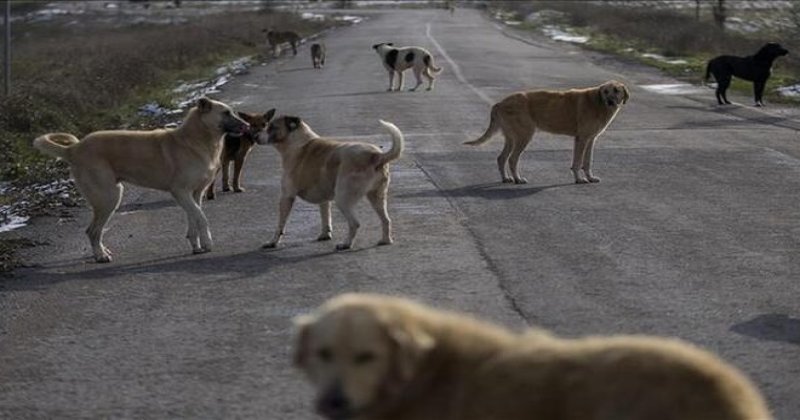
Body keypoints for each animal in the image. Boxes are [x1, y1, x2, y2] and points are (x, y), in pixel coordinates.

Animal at [32, 98, 248, 262]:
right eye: (226, 113)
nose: (247, 126)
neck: (196, 140)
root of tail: (73, 149)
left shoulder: (195, 194)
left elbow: (194, 218)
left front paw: (197, 245)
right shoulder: (180, 192)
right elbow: (202, 218)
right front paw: (208, 243)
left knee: (95, 231)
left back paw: (103, 251)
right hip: (109, 198)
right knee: (92, 231)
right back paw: (101, 256)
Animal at [258, 115, 404, 249]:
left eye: (272, 127)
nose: (255, 136)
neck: (297, 142)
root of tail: (376, 156)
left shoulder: (286, 197)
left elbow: (280, 224)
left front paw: (273, 242)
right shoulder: (324, 198)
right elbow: (325, 216)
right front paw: (325, 235)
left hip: (343, 199)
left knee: (355, 223)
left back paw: (346, 244)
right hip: (377, 197)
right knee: (386, 220)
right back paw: (385, 240)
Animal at [466, 80, 628, 184]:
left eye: (616, 90)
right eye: (605, 91)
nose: (610, 101)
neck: (598, 102)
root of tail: (500, 103)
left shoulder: (590, 139)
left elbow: (587, 162)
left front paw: (589, 177)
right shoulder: (582, 139)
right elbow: (577, 162)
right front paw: (579, 179)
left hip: (512, 138)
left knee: (501, 158)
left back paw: (506, 178)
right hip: (524, 136)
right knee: (512, 159)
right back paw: (518, 179)